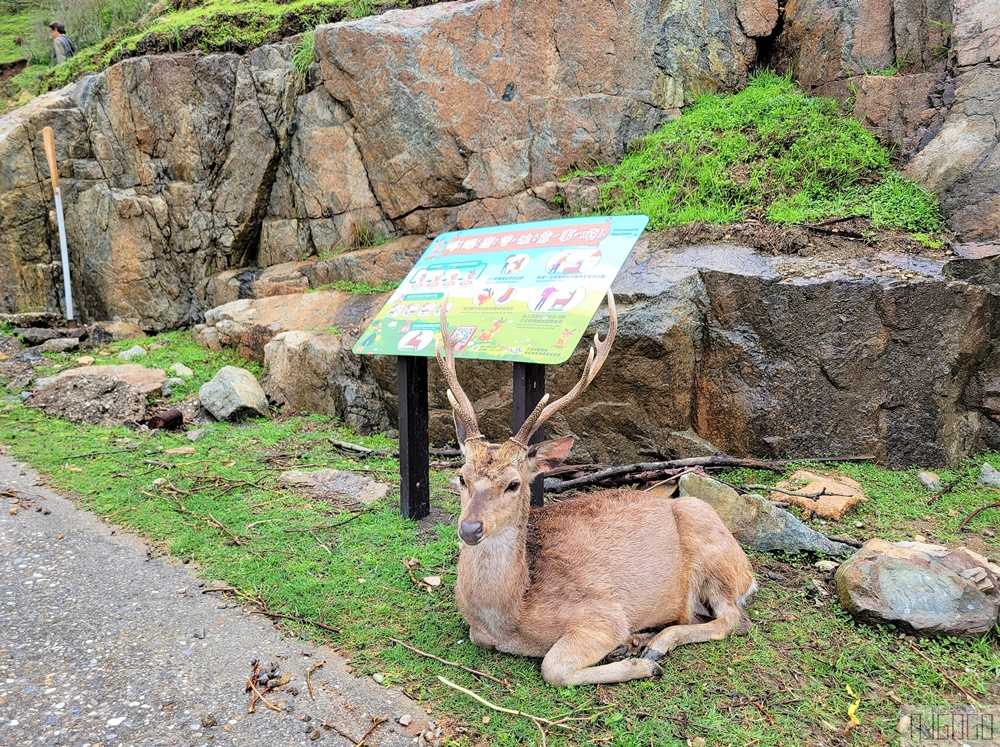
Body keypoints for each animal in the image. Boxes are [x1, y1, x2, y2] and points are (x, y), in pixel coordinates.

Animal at [434, 290, 752, 684]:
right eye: (462, 476)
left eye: (513, 484)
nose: (471, 528)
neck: (511, 618)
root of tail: (748, 572)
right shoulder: (479, 632)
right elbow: (481, 638)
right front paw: (629, 651)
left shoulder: (604, 614)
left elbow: (553, 667)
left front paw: (639, 662)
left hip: (712, 548)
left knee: (732, 619)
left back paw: (654, 647)